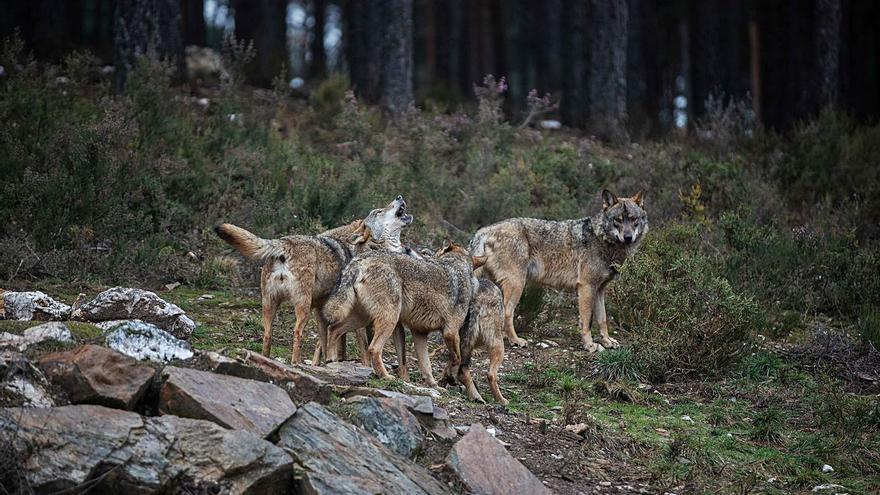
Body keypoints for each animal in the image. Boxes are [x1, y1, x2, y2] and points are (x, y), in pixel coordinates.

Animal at [218, 197, 414, 364]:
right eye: (379, 211)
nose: (399, 197)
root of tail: (285, 243)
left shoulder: (322, 312)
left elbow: (328, 342)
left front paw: (327, 362)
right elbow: (361, 348)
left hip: (269, 305)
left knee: (267, 335)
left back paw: (264, 359)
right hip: (302, 307)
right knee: (297, 332)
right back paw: (295, 363)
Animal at [322, 242, 478, 386]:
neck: (458, 267)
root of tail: (361, 259)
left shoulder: (419, 333)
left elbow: (426, 366)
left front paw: (435, 386)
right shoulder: (451, 332)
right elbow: (457, 358)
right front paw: (449, 378)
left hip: (362, 319)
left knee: (333, 329)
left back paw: (331, 361)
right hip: (388, 320)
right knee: (373, 349)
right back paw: (385, 376)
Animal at [468, 190, 648, 352]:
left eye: (633, 219)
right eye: (618, 220)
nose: (628, 237)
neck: (601, 239)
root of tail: (484, 230)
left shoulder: (599, 290)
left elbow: (602, 320)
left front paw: (607, 341)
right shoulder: (586, 287)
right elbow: (587, 321)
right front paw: (589, 345)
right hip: (517, 284)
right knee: (507, 313)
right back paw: (516, 340)